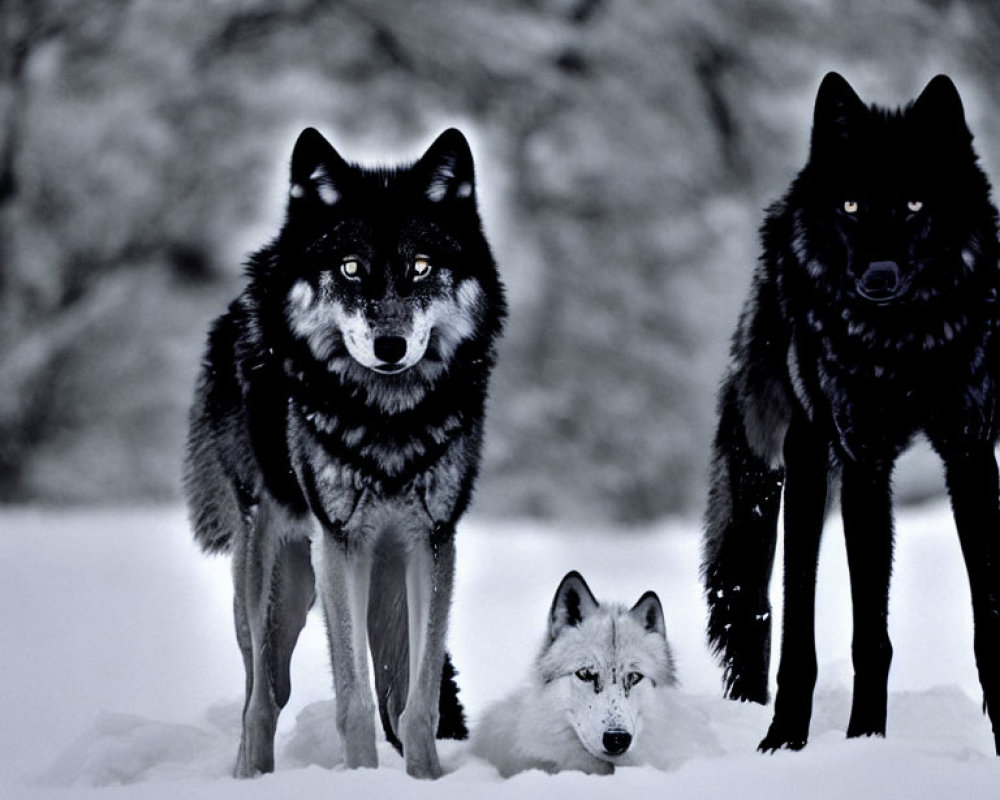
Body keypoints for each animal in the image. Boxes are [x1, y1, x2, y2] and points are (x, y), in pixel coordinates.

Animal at [183, 128, 504, 780]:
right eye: (352, 269)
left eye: (421, 267)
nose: (390, 345)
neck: (389, 418)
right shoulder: (342, 542)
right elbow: (352, 697)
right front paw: (362, 778)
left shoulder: (433, 542)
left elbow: (418, 699)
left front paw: (424, 780)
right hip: (275, 580)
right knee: (263, 694)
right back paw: (251, 774)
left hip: (378, 579)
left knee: (383, 683)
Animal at [704, 72, 1000, 752]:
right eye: (852, 208)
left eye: (915, 204)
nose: (878, 276)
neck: (904, 346)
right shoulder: (866, 463)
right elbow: (870, 635)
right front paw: (867, 740)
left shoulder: (970, 452)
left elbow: (990, 615)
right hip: (802, 466)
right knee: (786, 617)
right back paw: (781, 735)